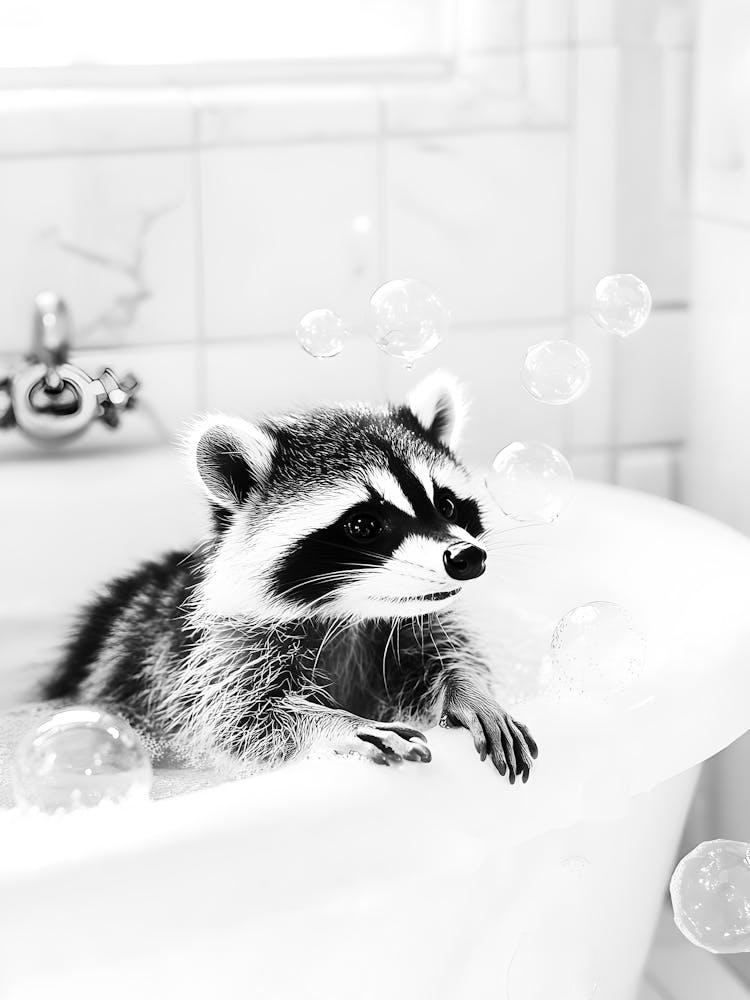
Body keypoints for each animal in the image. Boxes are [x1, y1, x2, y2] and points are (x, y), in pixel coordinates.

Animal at [42, 372, 538, 783]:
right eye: (364, 525)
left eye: (447, 505)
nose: (466, 557)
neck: (349, 614)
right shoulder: (213, 657)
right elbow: (238, 720)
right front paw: (335, 725)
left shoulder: (407, 627)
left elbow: (444, 654)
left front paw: (466, 688)